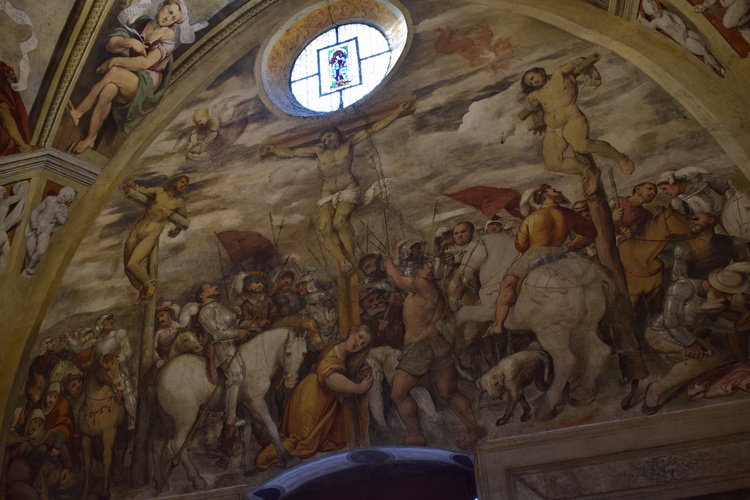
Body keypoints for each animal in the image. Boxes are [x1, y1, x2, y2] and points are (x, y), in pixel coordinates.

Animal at [79, 354, 125, 498]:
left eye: (118, 365)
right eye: (106, 368)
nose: (121, 384)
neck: (95, 409)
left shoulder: (109, 434)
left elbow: (106, 459)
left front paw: (104, 492)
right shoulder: (86, 437)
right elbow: (87, 463)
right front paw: (85, 492)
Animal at [156, 328, 308, 488]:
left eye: (304, 353)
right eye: (288, 353)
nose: (291, 381)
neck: (256, 359)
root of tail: (161, 375)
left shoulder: (243, 406)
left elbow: (245, 434)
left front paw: (247, 467)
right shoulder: (256, 402)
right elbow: (271, 427)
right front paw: (288, 458)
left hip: (167, 420)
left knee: (159, 443)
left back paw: (159, 482)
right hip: (186, 417)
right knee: (177, 444)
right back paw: (197, 479)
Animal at [458, 256, 616, 420]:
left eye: (464, 252)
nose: (462, 275)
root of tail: (585, 277)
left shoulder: (485, 311)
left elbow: (462, 314)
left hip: (551, 332)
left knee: (566, 361)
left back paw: (547, 406)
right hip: (583, 326)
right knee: (599, 351)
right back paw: (582, 394)